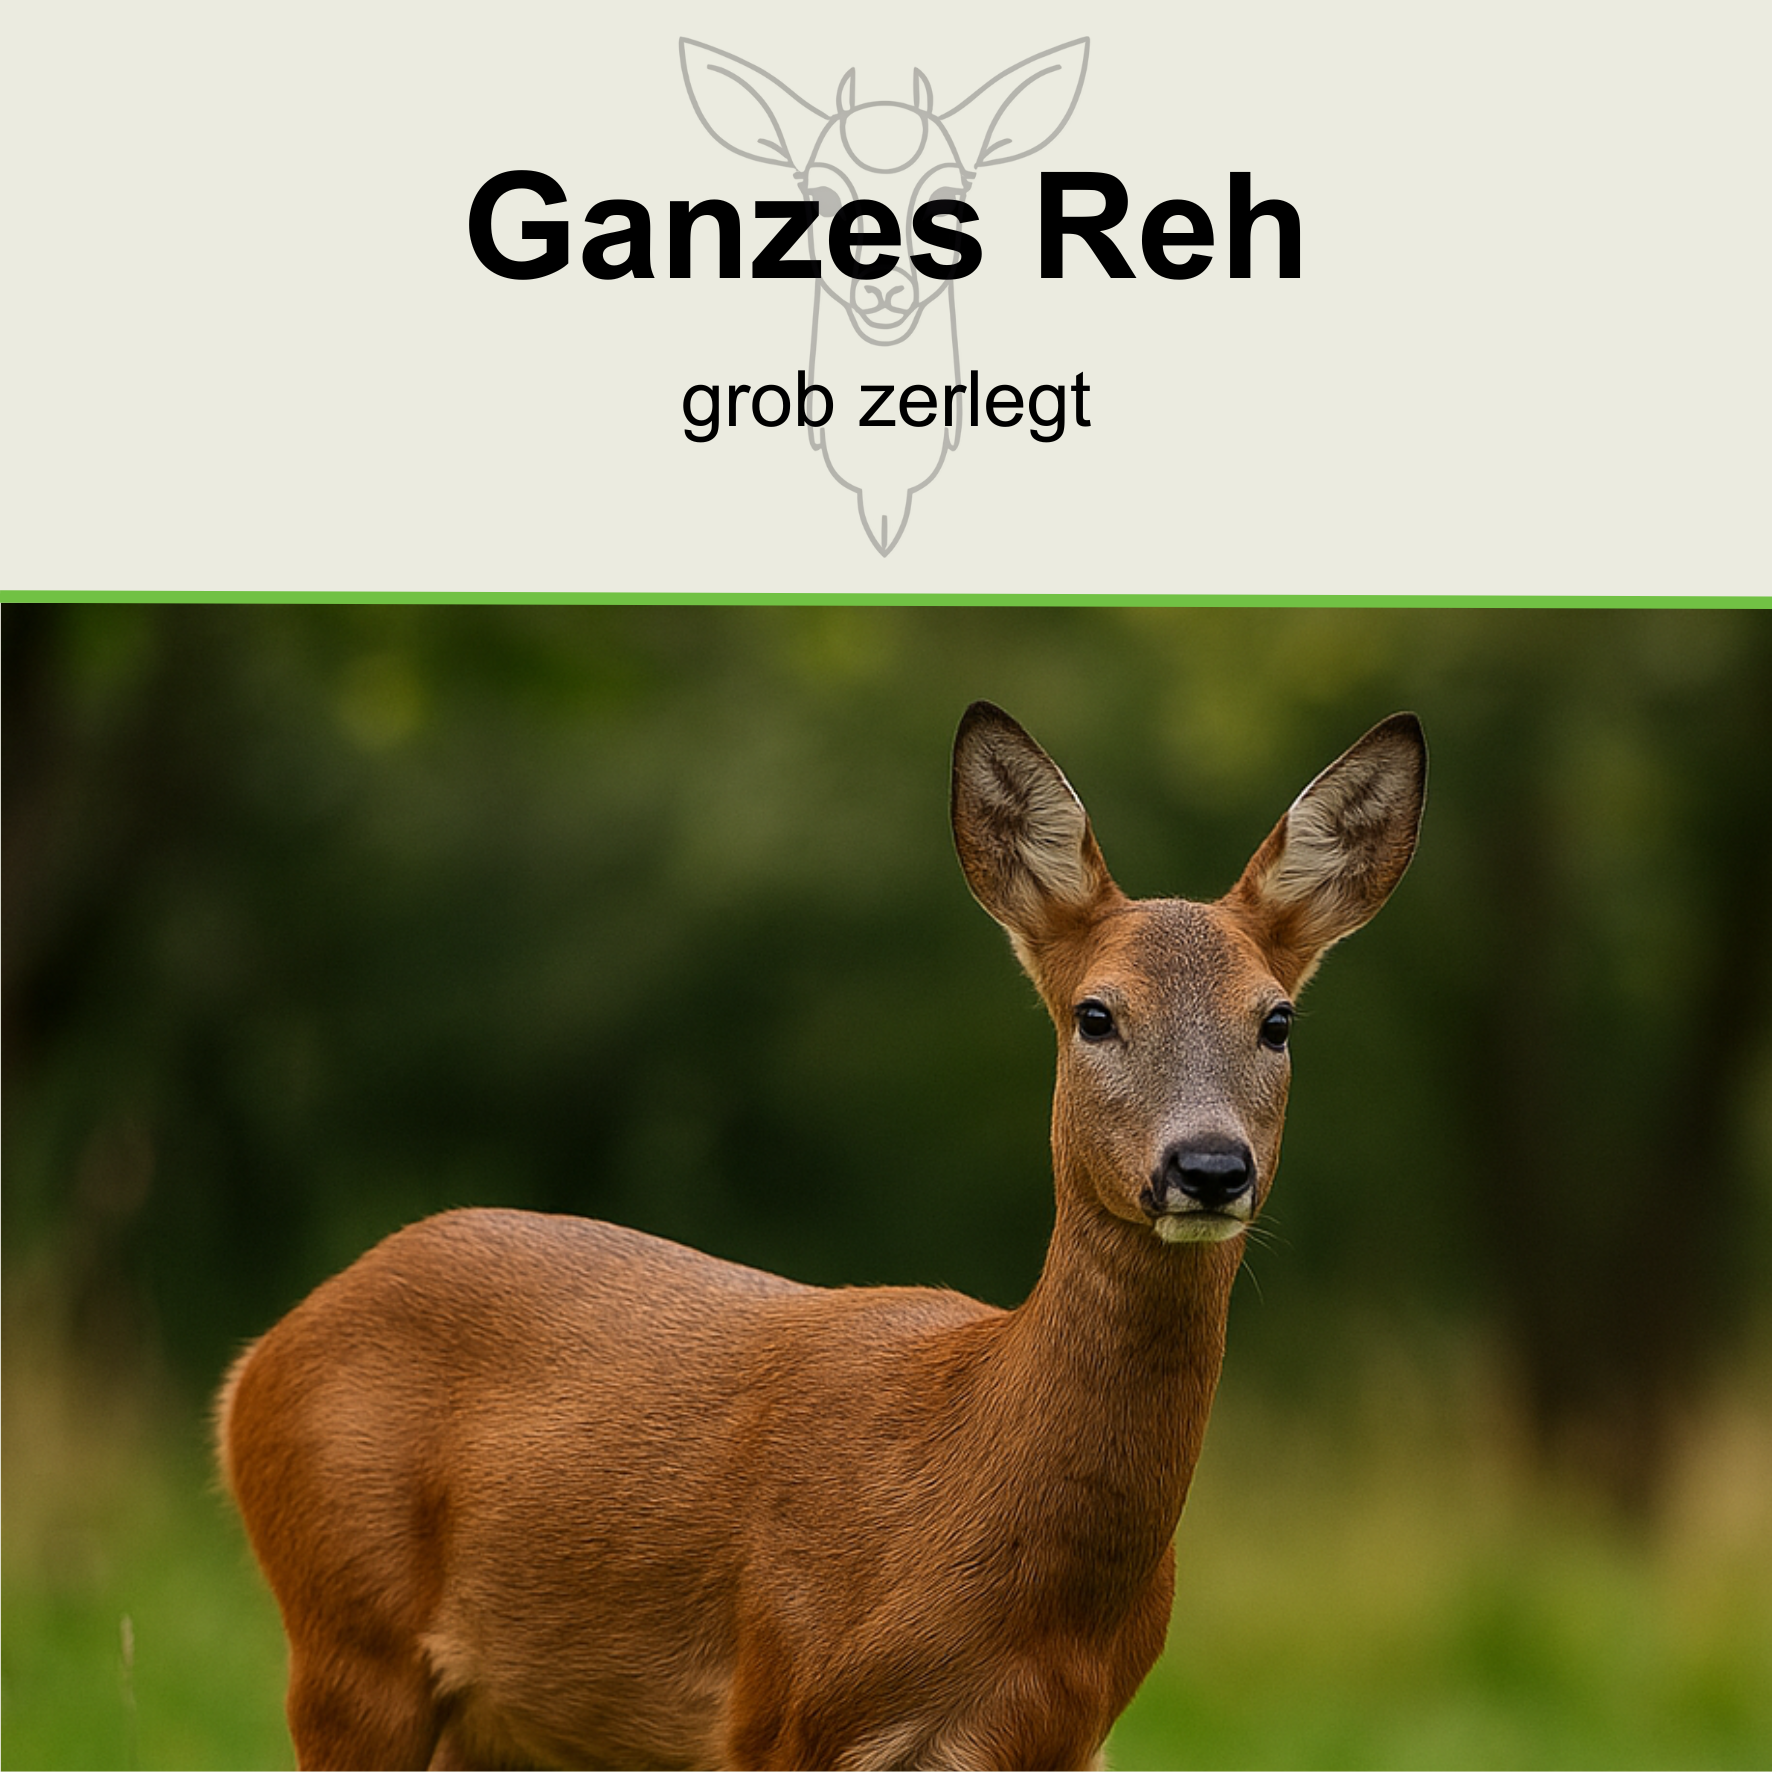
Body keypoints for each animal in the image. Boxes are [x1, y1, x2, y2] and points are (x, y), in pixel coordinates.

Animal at [216, 701, 1426, 1770]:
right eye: (1096, 1013)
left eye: (1275, 1019)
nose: (1208, 1167)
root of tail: (253, 1367)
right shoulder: (778, 1707)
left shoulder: (1067, 1738)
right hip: (347, 1636)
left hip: (502, 1720)